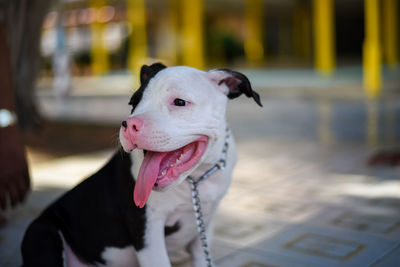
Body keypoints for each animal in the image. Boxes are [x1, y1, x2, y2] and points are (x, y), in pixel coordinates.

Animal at [21, 63, 262, 267]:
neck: (196, 179)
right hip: (43, 234)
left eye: (180, 102)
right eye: (133, 103)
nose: (130, 125)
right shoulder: (148, 232)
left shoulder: (204, 227)